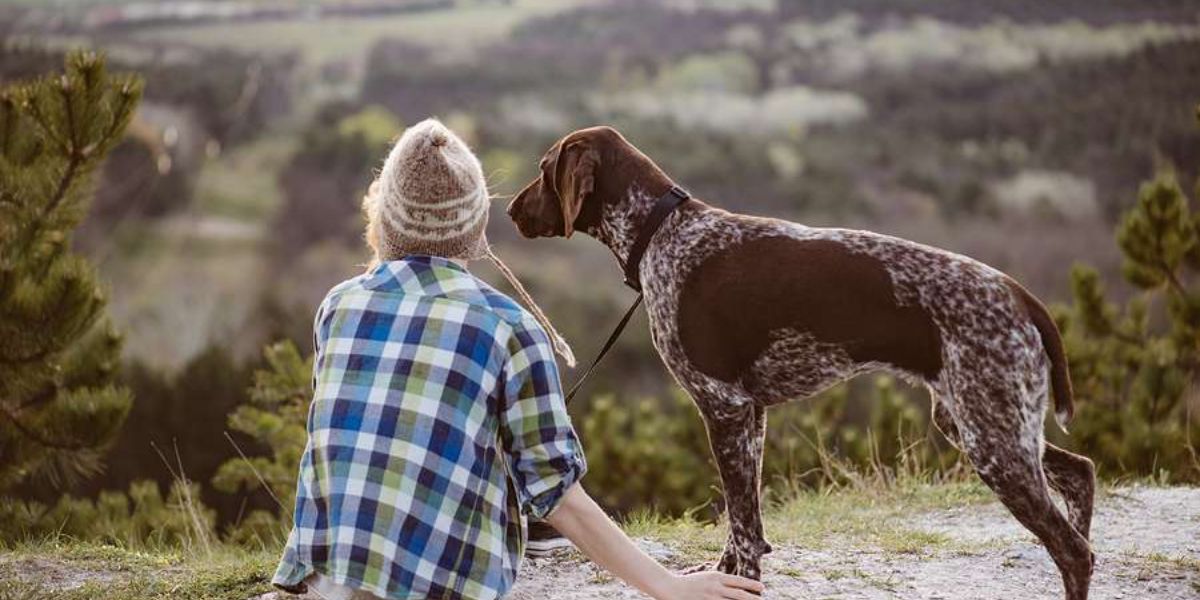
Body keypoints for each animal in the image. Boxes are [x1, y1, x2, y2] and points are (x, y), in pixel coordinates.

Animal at [506, 126, 1099, 600]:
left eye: (542, 168)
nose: (510, 209)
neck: (661, 232)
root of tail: (1020, 296)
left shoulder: (722, 407)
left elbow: (745, 527)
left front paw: (740, 583)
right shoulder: (750, 413)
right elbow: (742, 522)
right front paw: (726, 575)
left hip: (991, 437)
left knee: (1074, 549)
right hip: (980, 423)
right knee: (1081, 475)